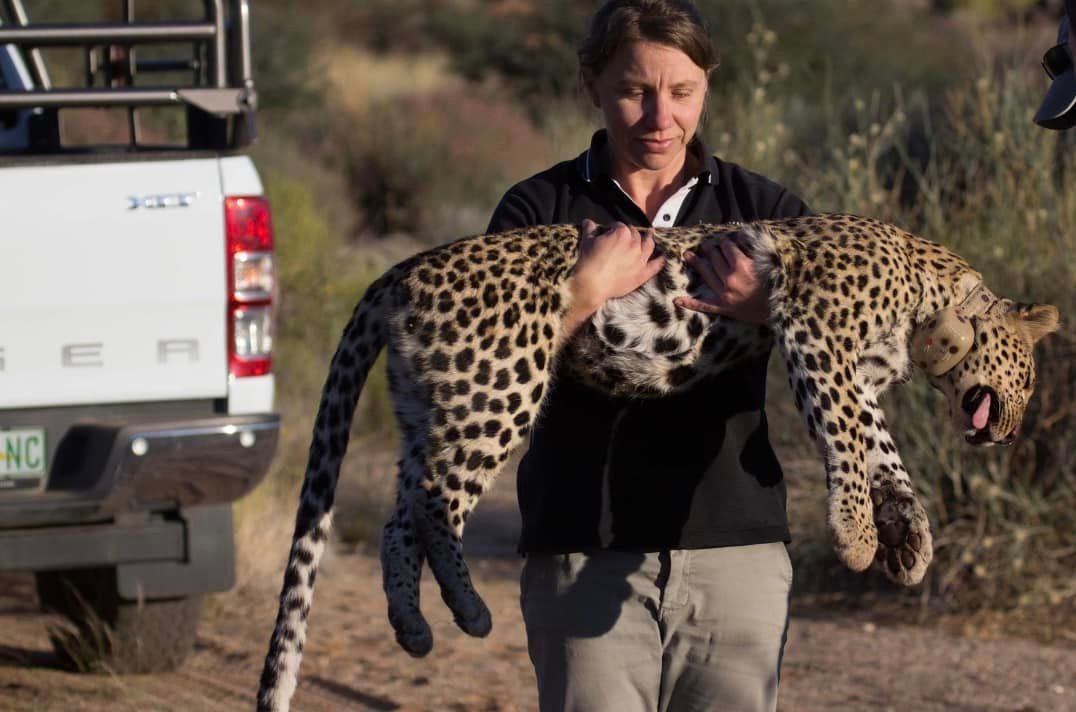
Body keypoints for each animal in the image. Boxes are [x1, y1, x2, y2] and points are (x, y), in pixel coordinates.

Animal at [256, 213, 1058, 712]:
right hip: (499, 385)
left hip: (429, 405)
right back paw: (471, 610)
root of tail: (409, 265)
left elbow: (879, 444)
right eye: (1027, 379)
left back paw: (415, 626)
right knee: (432, 503)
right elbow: (847, 437)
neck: (931, 307)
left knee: (398, 520)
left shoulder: (852, 368)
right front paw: (861, 536)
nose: (1009, 432)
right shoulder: (817, 331)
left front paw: (910, 538)